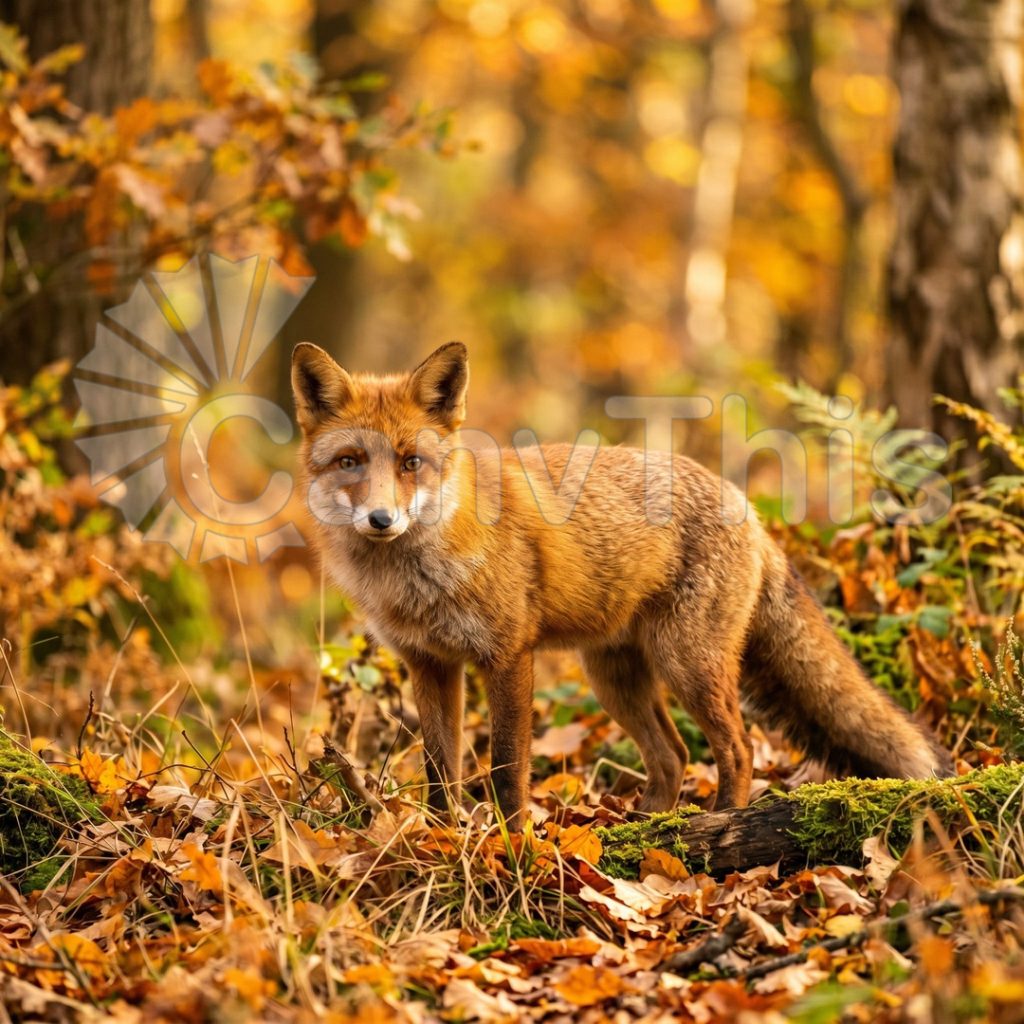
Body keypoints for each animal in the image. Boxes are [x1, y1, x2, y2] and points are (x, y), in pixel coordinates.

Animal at [292, 340, 953, 828]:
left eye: (411, 462)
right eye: (350, 462)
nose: (381, 520)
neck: (415, 579)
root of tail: (747, 506)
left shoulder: (508, 655)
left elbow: (507, 768)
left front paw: (510, 840)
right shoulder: (430, 664)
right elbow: (439, 768)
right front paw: (438, 835)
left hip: (687, 664)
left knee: (736, 750)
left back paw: (717, 824)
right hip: (615, 678)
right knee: (673, 756)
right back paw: (643, 826)